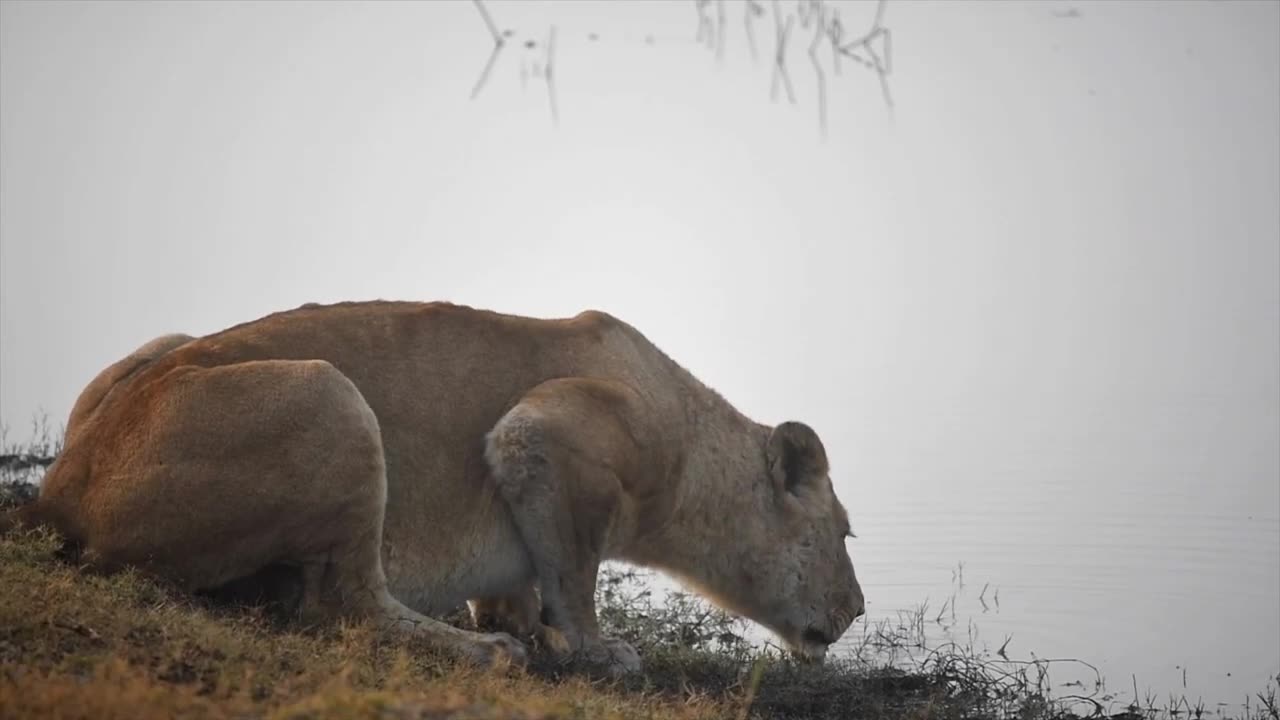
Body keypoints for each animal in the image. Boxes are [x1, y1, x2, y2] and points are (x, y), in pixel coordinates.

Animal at [5, 299, 865, 671]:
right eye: (846, 532)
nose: (858, 609)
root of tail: (60, 486)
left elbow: (533, 575)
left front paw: (524, 622)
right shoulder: (546, 430)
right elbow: (575, 572)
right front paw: (593, 647)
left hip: (165, 351)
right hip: (332, 395)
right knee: (344, 601)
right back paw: (480, 650)